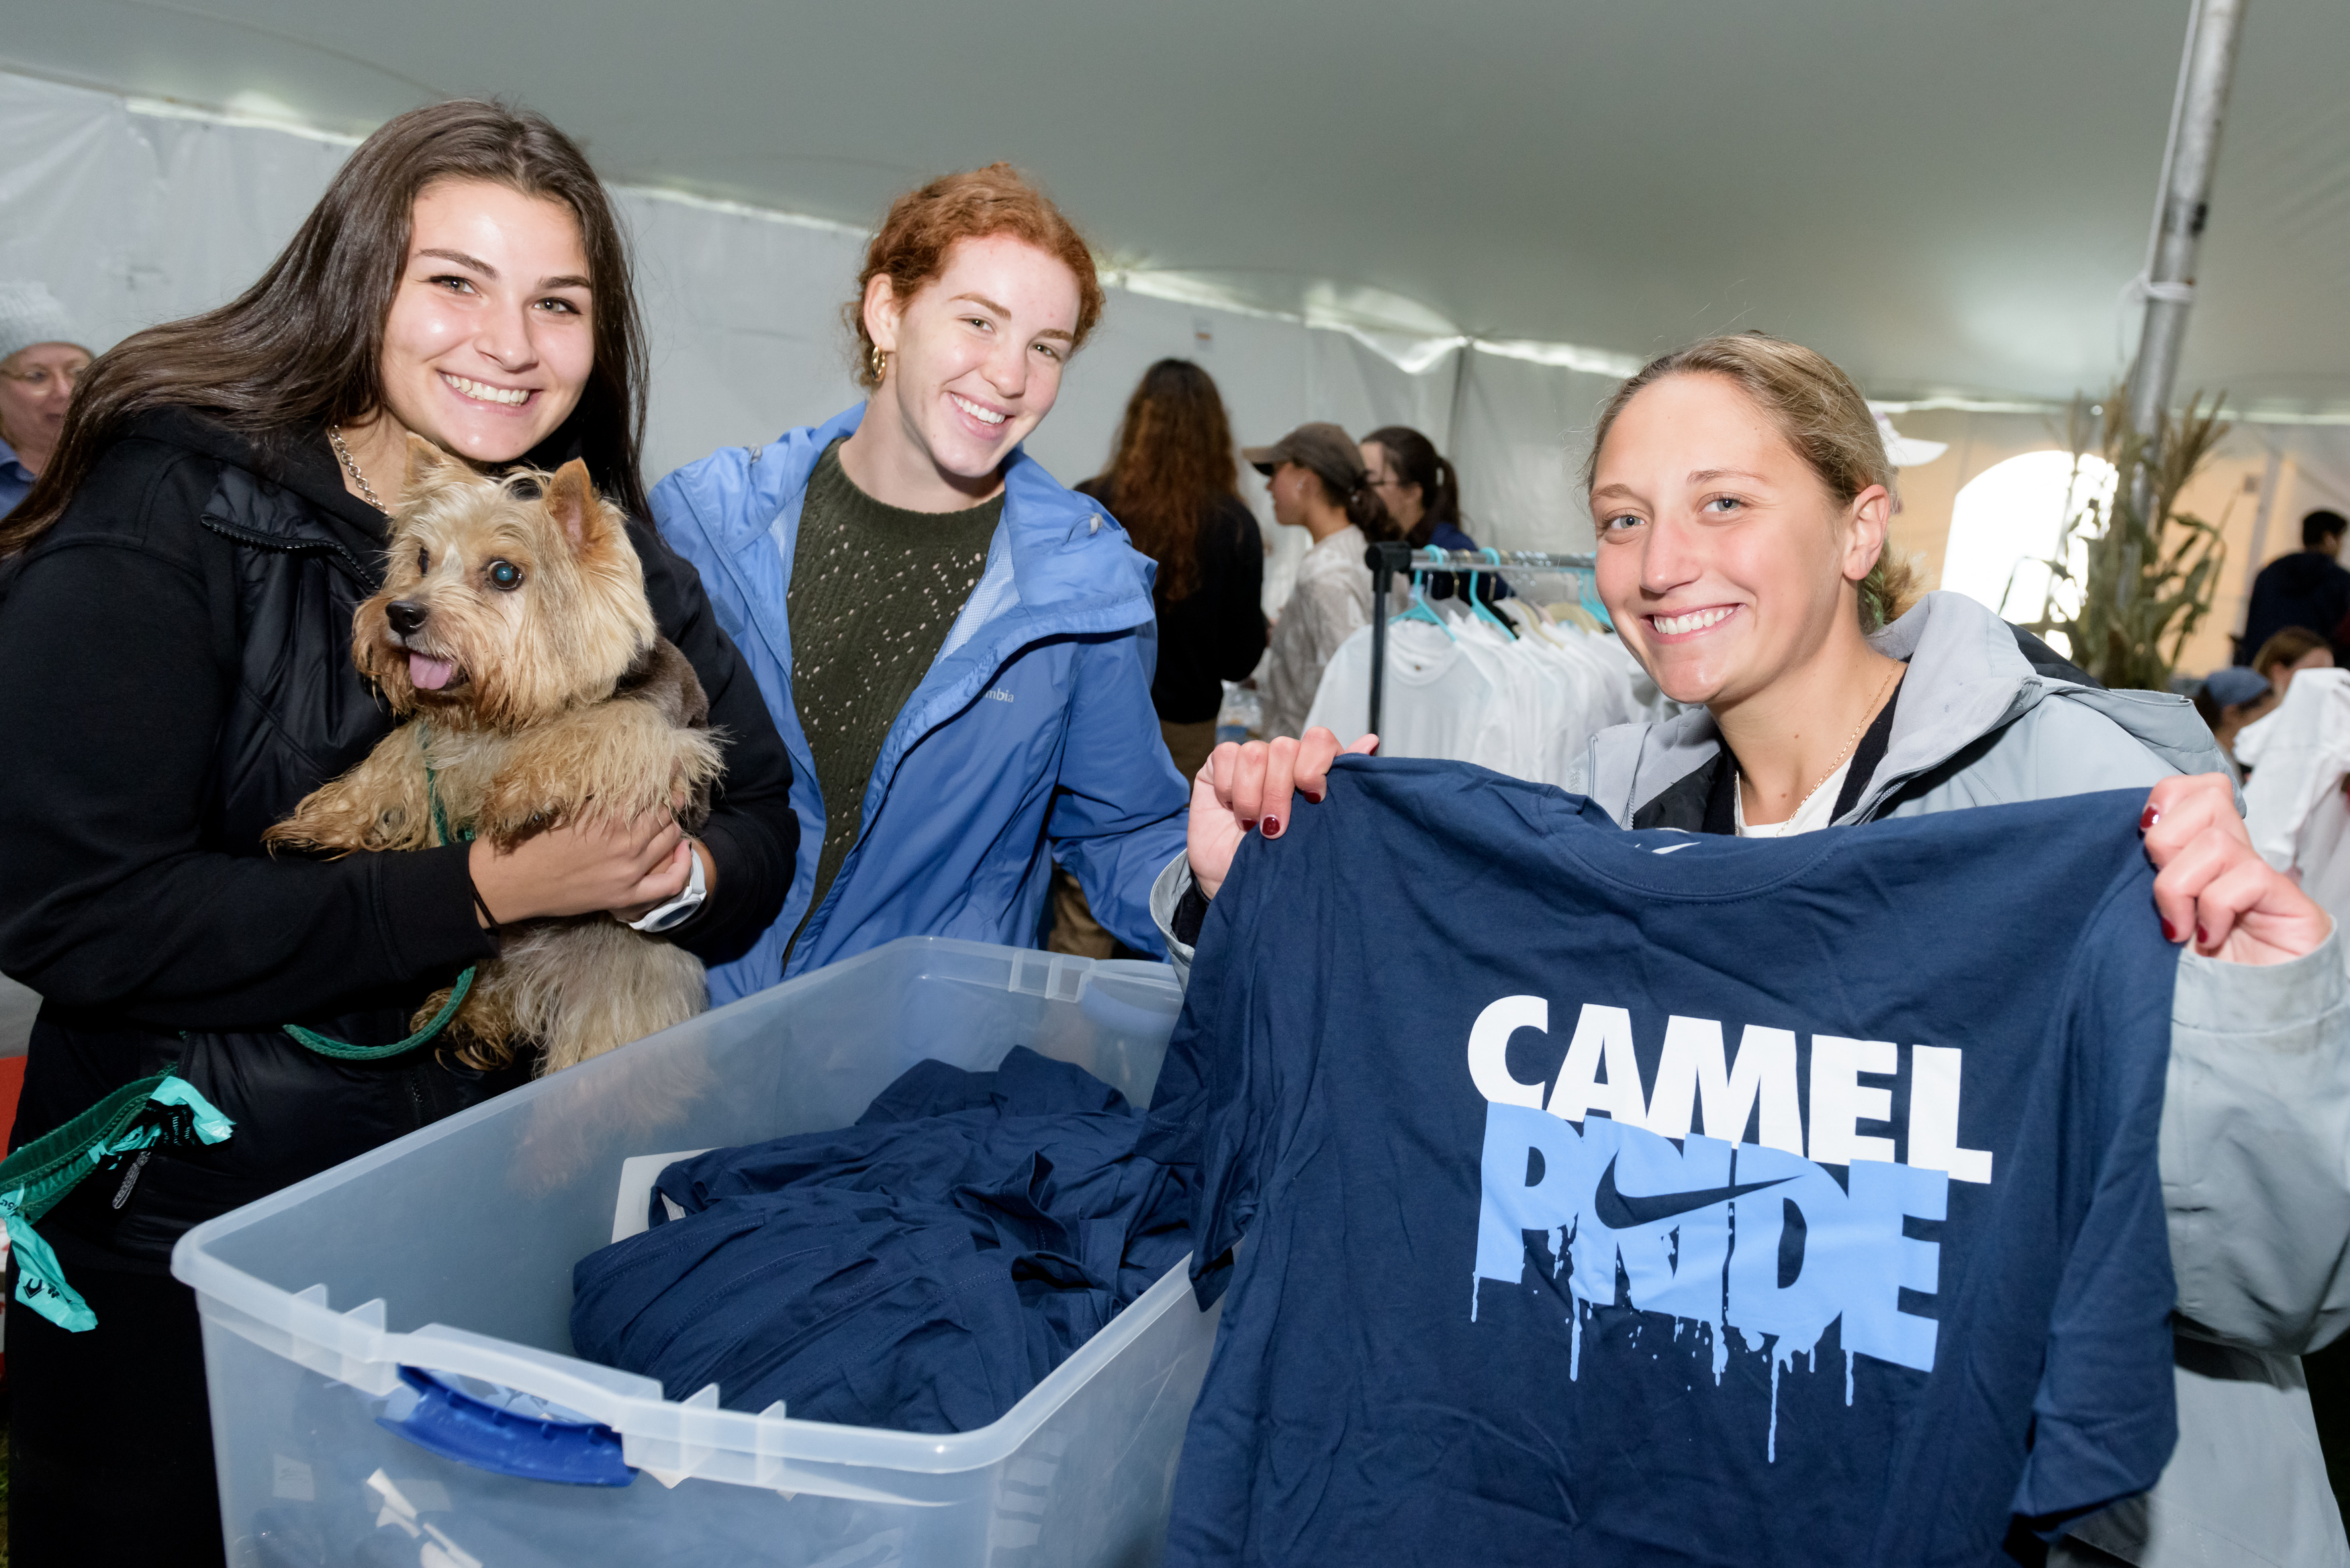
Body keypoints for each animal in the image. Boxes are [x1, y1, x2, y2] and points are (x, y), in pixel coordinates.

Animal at [269, 442, 719, 1081]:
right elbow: (399, 750)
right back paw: (471, 1016)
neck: (502, 719)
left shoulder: (668, 734)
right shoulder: (439, 741)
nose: (401, 614)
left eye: (505, 574)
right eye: (422, 559)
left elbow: (601, 728)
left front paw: (521, 791)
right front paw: (328, 819)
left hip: (620, 997)